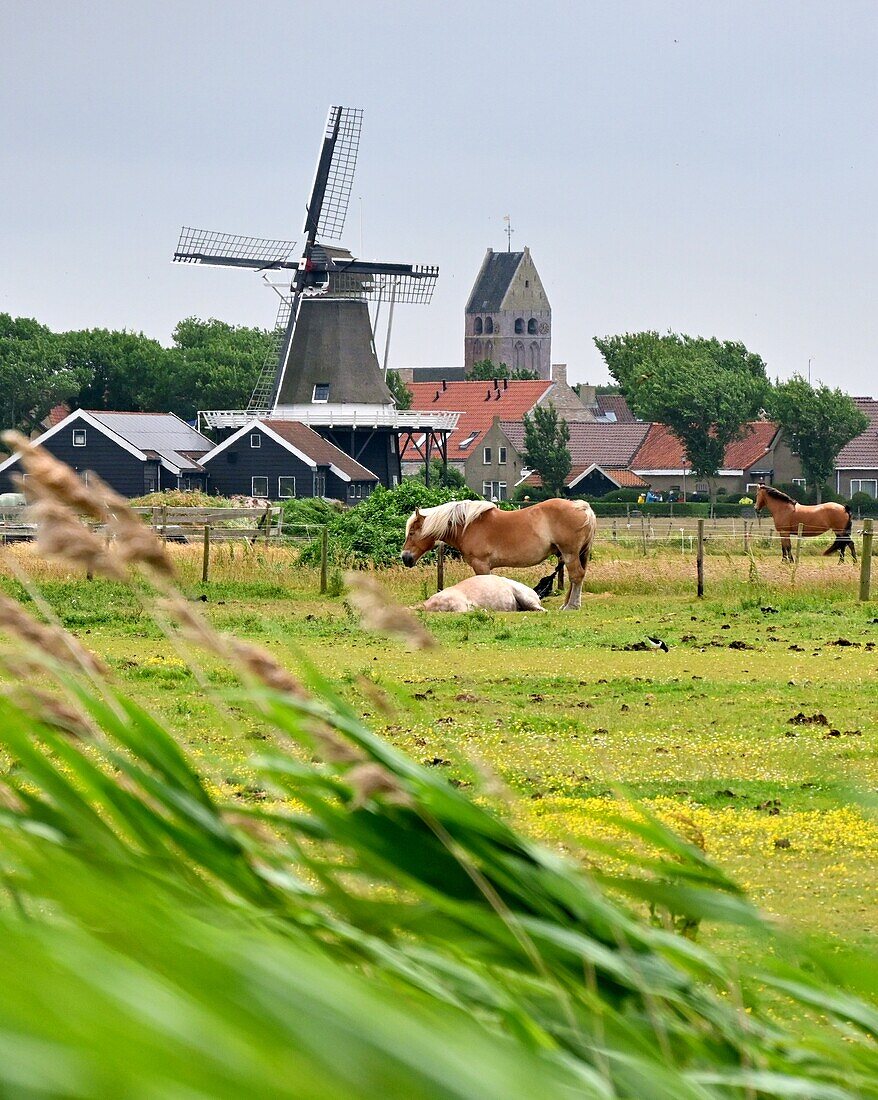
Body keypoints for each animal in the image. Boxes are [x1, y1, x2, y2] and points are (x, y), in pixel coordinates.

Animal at [404, 499, 598, 611]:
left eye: (412, 533)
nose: (405, 557)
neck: (467, 526)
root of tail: (583, 507)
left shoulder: (481, 565)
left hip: (569, 553)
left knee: (576, 576)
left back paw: (571, 606)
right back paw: (566, 604)